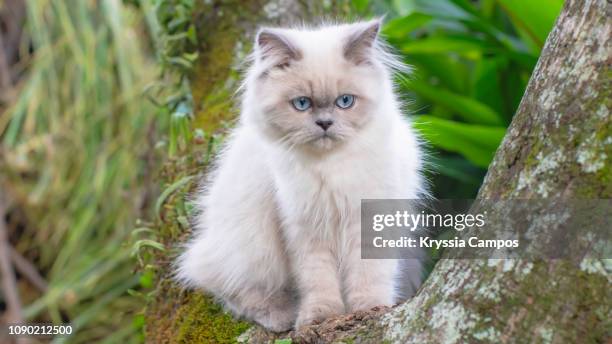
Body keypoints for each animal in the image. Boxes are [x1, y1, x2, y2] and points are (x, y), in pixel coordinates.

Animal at [177, 18, 426, 330]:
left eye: (345, 101)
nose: (325, 123)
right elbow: (317, 281)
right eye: (302, 104)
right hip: (249, 246)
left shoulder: (368, 219)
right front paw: (318, 318)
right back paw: (282, 316)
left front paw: (370, 309)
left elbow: (369, 275)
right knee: (228, 287)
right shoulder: (304, 226)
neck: (329, 167)